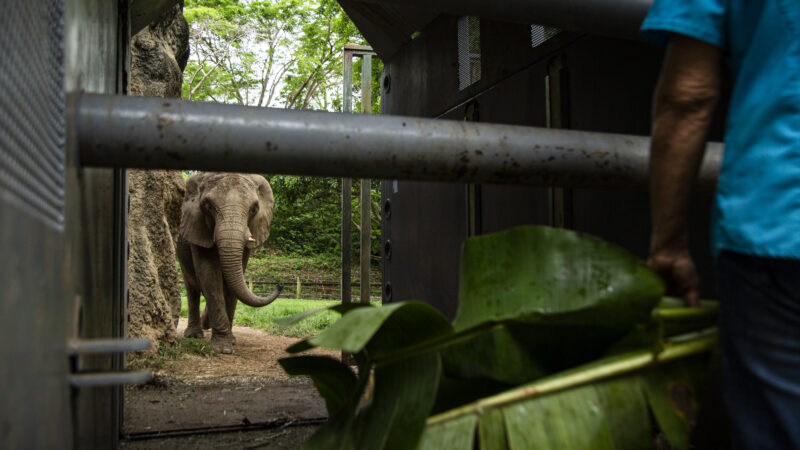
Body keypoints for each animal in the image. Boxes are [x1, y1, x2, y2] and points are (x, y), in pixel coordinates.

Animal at [178, 174, 284, 354]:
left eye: (254, 209)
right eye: (209, 206)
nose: (280, 284)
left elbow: (234, 277)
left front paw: (231, 340)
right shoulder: (198, 229)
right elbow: (210, 276)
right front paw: (223, 348)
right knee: (192, 289)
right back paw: (194, 335)